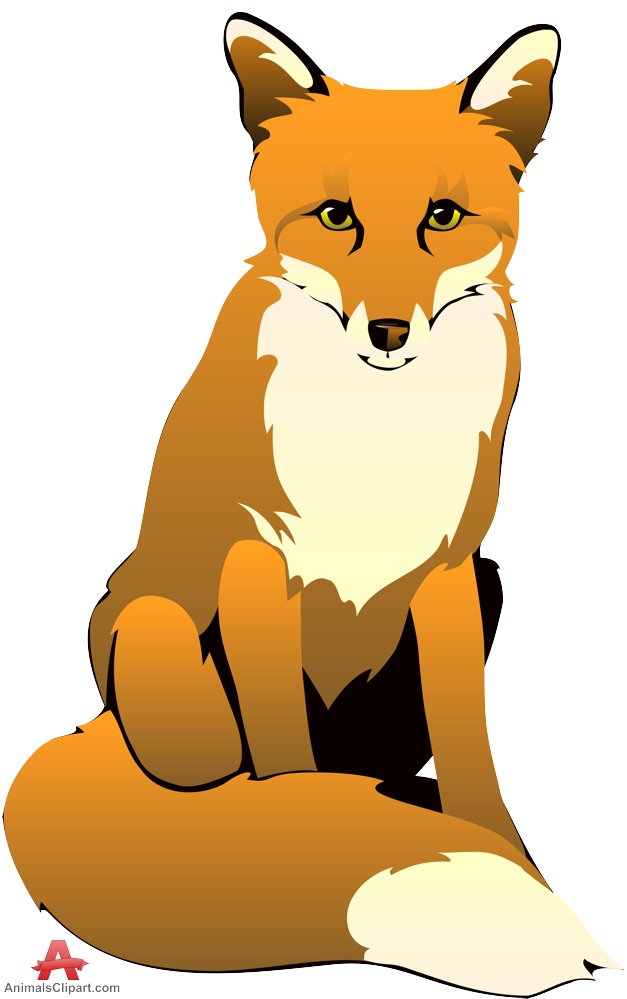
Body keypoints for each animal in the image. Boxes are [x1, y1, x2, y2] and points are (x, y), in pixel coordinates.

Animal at [4, 13, 620, 997]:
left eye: (442, 218)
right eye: (336, 218)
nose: (389, 331)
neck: (372, 437)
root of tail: (86, 726)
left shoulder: (453, 568)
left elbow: (472, 756)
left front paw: (510, 853)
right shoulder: (259, 566)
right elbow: (286, 766)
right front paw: (293, 841)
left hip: (489, 586)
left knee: (378, 774)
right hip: (156, 643)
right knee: (237, 758)